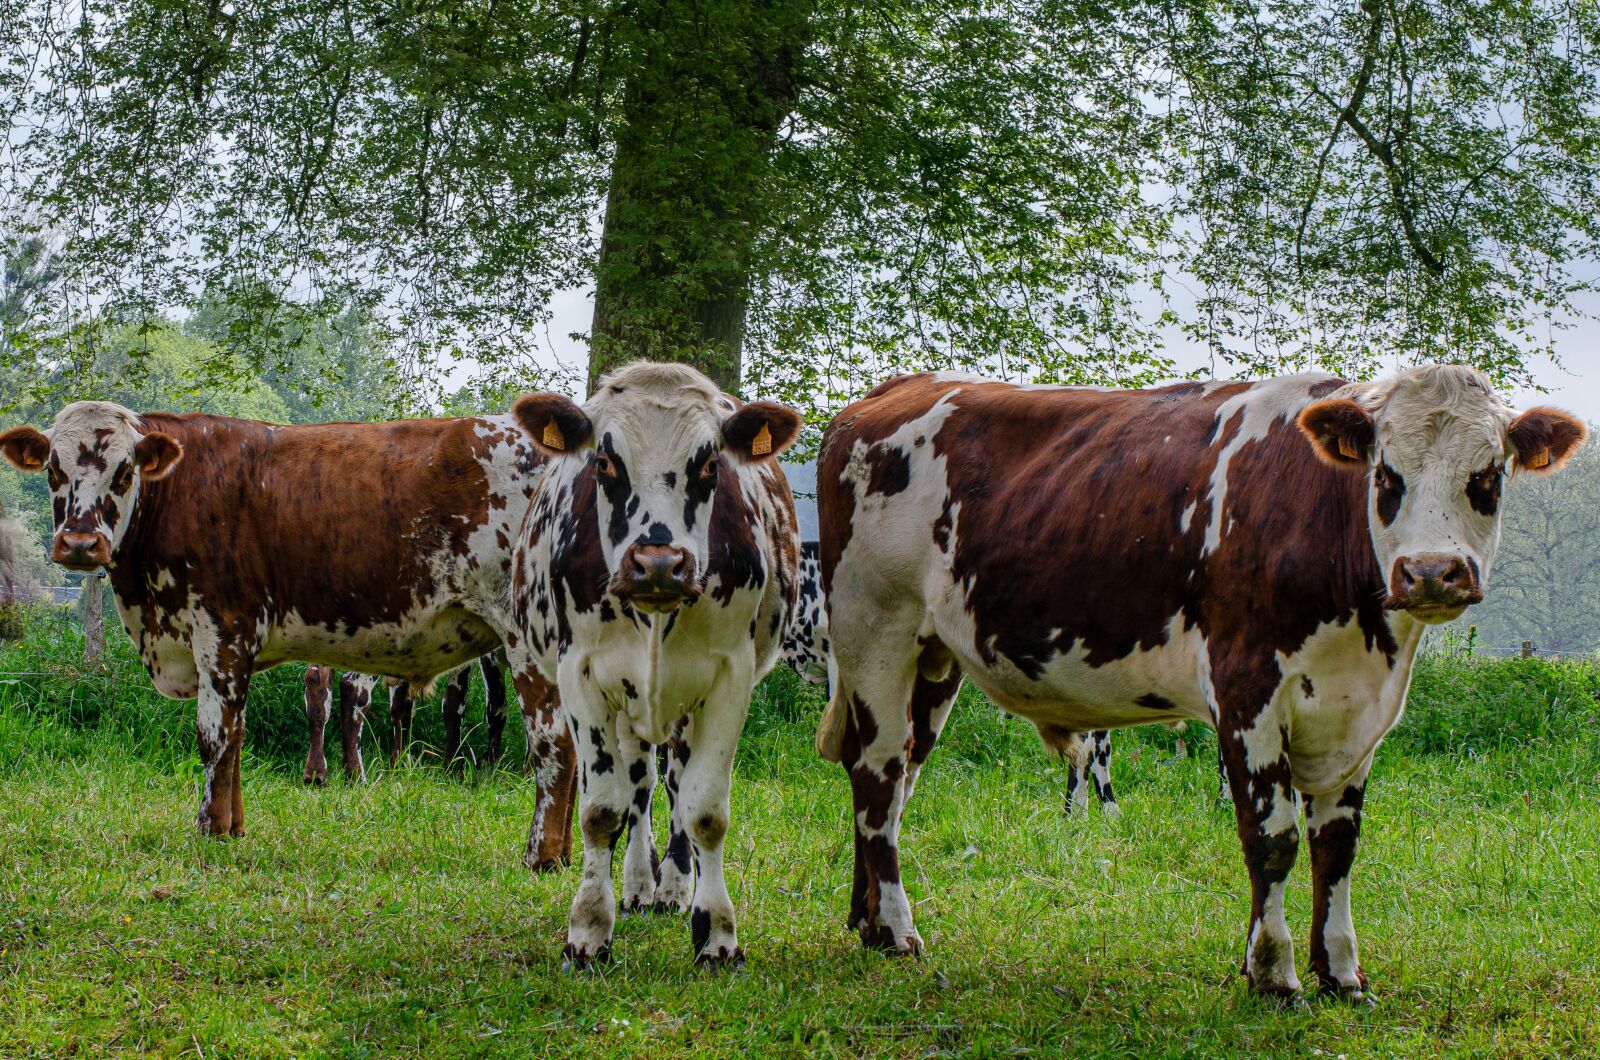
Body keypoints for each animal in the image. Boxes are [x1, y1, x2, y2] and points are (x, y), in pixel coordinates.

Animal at [0, 402, 576, 861]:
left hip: (528, 639)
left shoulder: (221, 629)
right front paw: (233, 827)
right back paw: (565, 852)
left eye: (124, 472)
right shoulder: (235, 647)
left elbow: (214, 737)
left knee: (552, 742)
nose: (79, 543)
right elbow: (236, 736)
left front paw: (209, 827)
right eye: (53, 469)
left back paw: (541, 855)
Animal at [510, 361, 802, 968]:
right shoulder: (582, 674)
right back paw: (641, 885)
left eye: (710, 464)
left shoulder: (729, 678)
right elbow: (603, 809)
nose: (659, 563)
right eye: (604, 462)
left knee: (673, 783)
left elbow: (704, 811)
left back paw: (670, 886)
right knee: (641, 785)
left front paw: (716, 930)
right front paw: (589, 928)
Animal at [812, 365, 1584, 1002]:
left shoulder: (1356, 713)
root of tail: (891, 391)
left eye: (1489, 475)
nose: (1429, 573)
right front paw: (1273, 974)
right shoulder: (1248, 689)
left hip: (932, 658)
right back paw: (897, 932)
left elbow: (1338, 846)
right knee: (878, 775)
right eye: (1386, 474)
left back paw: (865, 918)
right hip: (875, 632)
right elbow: (1272, 838)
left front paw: (1340, 973)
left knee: (894, 778)